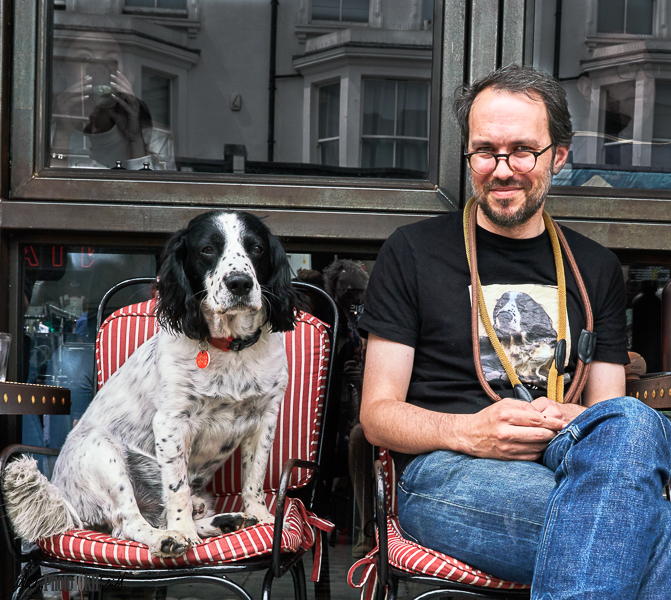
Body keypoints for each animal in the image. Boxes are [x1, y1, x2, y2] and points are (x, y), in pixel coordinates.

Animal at [3, 211, 300, 556]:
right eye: (207, 250)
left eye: (256, 248)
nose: (239, 283)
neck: (230, 348)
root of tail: (65, 500)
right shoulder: (172, 422)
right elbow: (177, 490)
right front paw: (182, 531)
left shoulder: (264, 418)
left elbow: (254, 477)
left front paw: (260, 516)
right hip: (103, 454)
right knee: (128, 523)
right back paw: (168, 538)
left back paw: (225, 522)